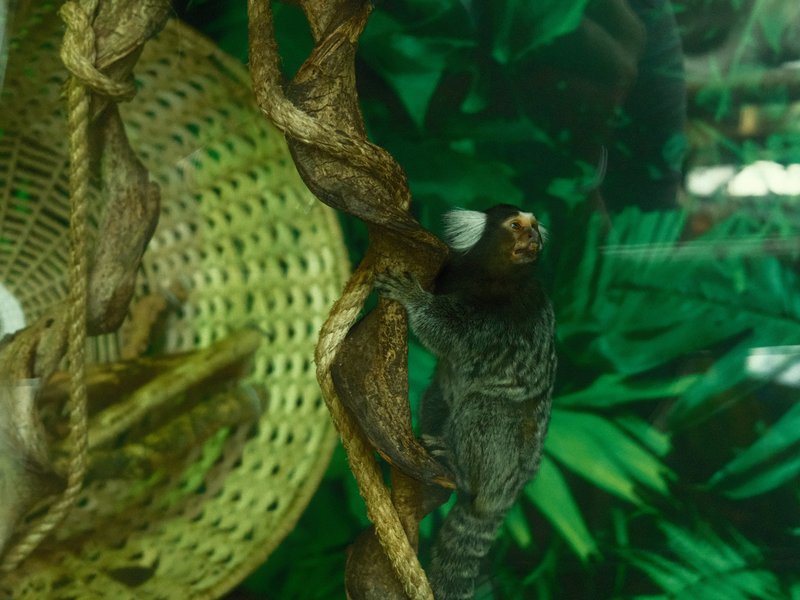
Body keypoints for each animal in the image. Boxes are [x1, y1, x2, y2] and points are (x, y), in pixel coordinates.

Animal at [375, 204, 556, 599]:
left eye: (534, 227)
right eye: (517, 226)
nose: (533, 238)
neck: (488, 278)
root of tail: (507, 496)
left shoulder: (506, 315)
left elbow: (450, 336)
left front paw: (413, 297)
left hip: (504, 464)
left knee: (485, 408)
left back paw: (458, 470)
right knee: (438, 394)